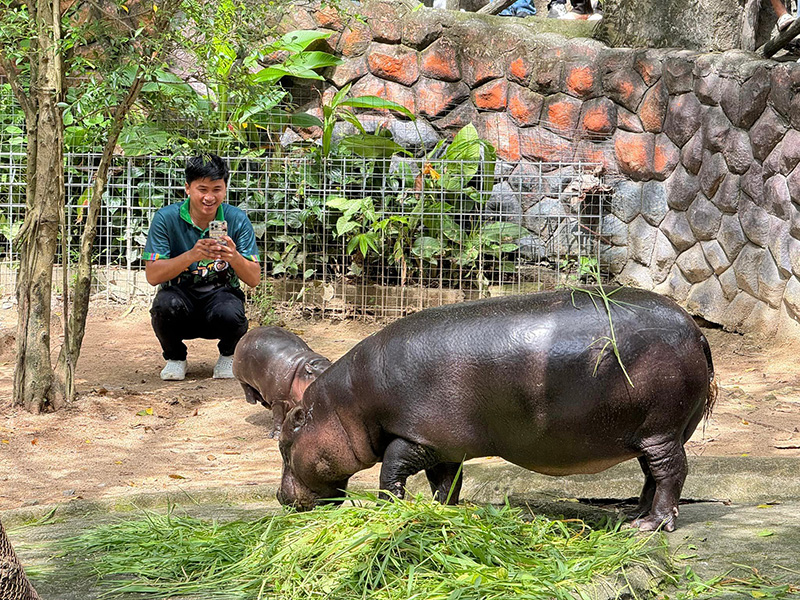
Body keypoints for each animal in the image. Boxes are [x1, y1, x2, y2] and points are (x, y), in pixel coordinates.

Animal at [278, 288, 716, 532]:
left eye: (285, 444)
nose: (281, 498)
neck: (345, 405)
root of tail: (696, 330)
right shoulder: (443, 444)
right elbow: (446, 482)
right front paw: (441, 511)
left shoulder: (413, 436)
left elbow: (391, 471)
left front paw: (391, 510)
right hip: (647, 431)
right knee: (651, 474)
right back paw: (632, 513)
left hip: (661, 429)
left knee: (671, 472)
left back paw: (651, 525)